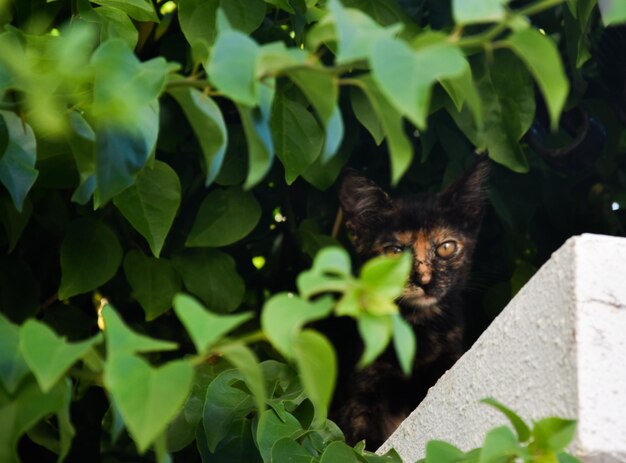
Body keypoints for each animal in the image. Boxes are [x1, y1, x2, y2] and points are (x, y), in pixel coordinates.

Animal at [332, 159, 488, 450]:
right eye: (394, 252)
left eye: (446, 247)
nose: (424, 279)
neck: (417, 328)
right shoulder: (364, 386)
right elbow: (360, 438)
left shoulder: (447, 361)